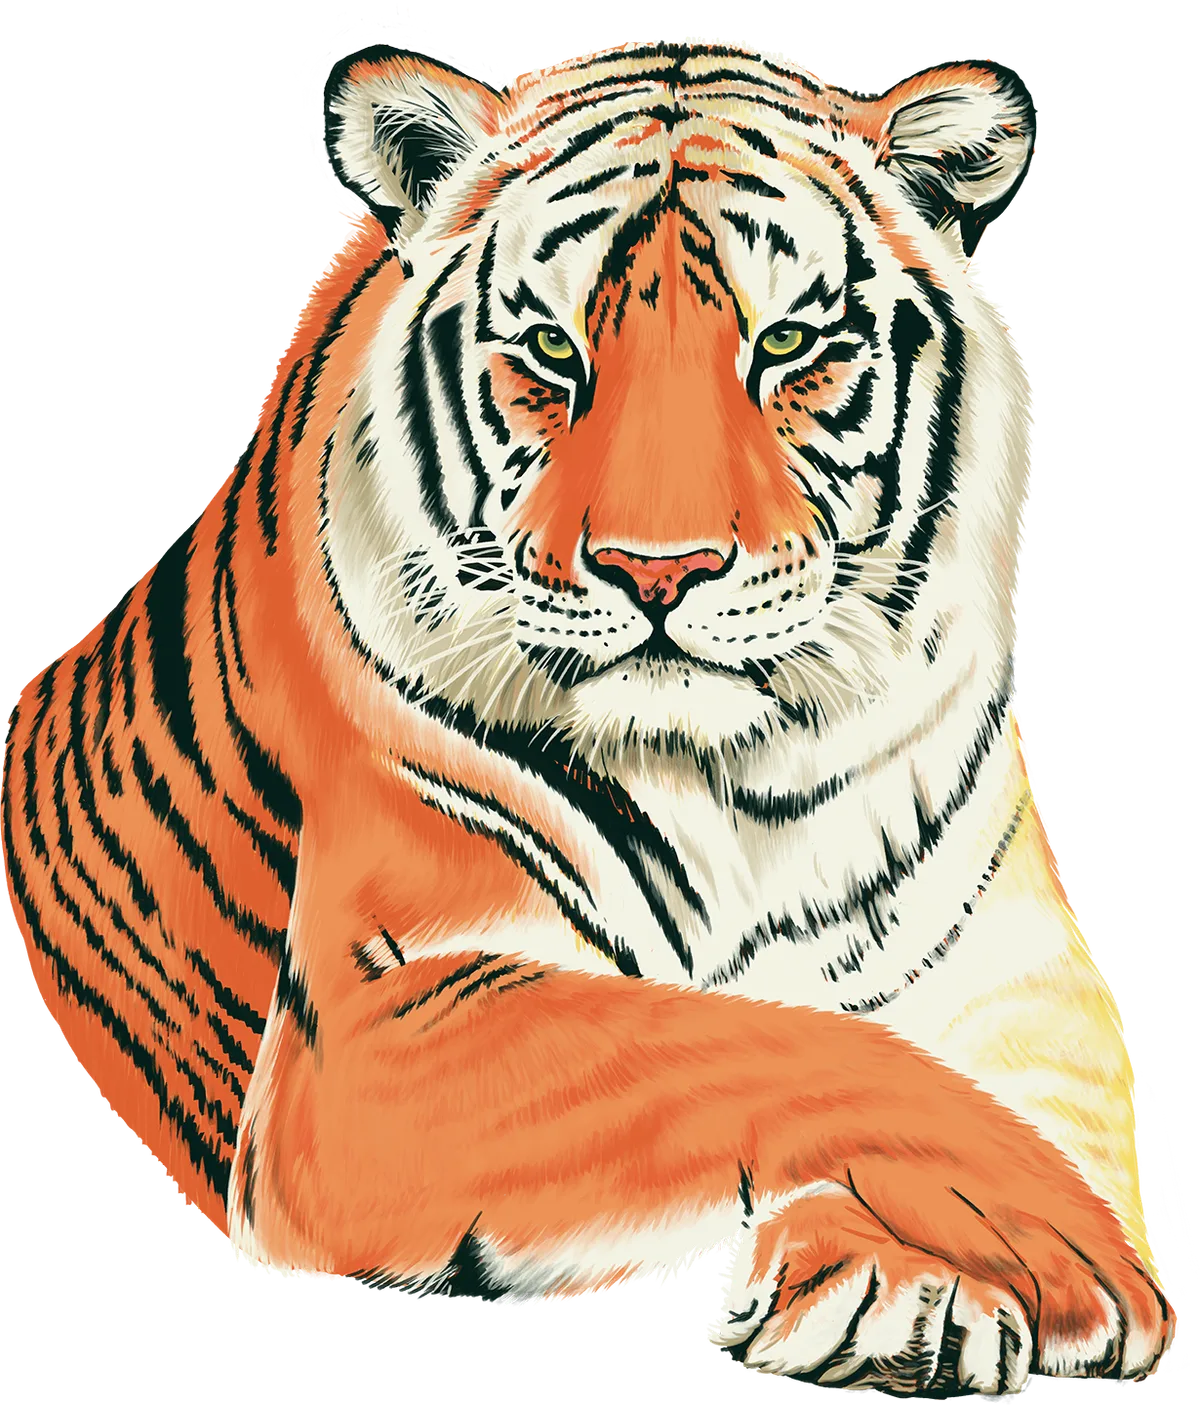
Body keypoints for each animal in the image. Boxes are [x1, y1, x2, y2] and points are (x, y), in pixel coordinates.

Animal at [0, 37, 1175, 1391]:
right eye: (554, 352)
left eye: (788, 344)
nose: (655, 572)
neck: (738, 781)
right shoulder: (370, 1029)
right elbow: (761, 1044)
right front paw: (1039, 1242)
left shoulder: (1027, 968)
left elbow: (1018, 1088)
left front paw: (915, 1283)